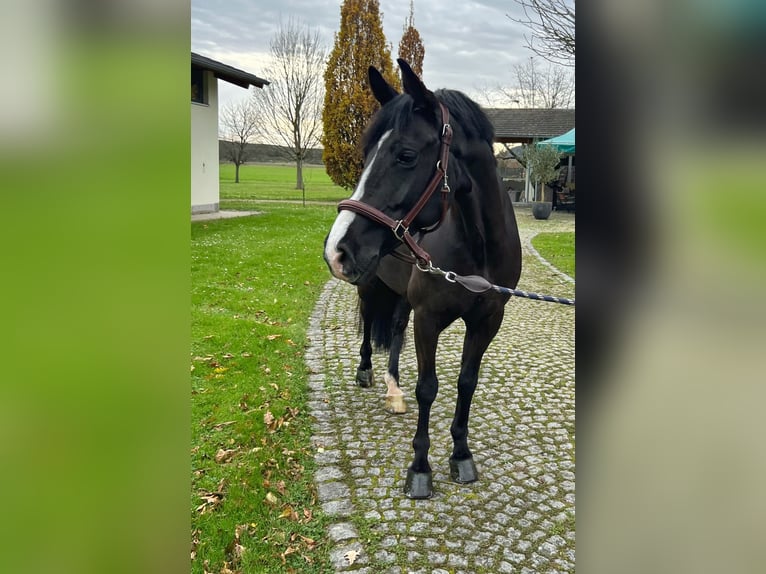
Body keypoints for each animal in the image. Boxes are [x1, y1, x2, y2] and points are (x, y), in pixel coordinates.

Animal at [320, 59, 524, 500]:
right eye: (365, 155)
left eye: (406, 155)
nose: (337, 249)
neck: (478, 248)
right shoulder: (429, 319)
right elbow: (428, 387)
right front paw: (420, 467)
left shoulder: (487, 320)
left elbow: (466, 382)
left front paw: (461, 455)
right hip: (371, 285)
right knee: (370, 326)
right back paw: (368, 373)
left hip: (400, 295)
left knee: (395, 329)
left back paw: (394, 391)